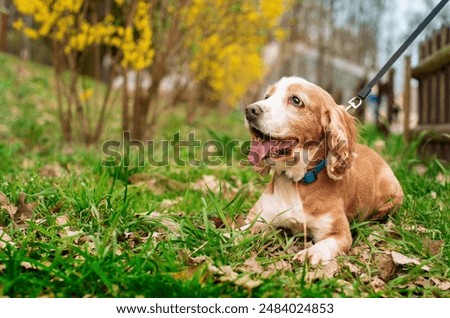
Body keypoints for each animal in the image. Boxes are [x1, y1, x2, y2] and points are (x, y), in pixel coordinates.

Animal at [244, 76, 402, 264]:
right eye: (267, 96)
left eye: (296, 100)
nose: (250, 110)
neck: (298, 181)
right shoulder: (259, 217)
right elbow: (241, 231)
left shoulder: (338, 233)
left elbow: (325, 245)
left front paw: (309, 254)